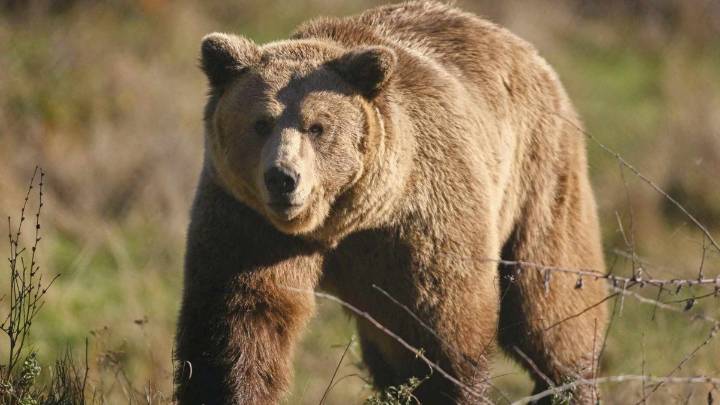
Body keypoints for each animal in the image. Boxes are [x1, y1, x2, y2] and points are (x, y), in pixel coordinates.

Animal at [175, 1, 608, 404]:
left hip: (539, 175)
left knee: (551, 305)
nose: (283, 178)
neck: (342, 220)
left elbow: (443, 329)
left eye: (317, 127)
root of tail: (523, 48)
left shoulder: (420, 222)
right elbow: (241, 319)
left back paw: (570, 384)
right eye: (261, 123)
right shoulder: (249, 221)